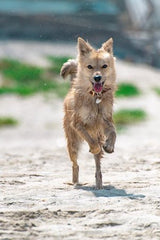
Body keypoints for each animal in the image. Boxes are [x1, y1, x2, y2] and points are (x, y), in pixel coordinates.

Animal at [60, 37, 117, 188]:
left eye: (104, 66)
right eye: (90, 67)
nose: (97, 78)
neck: (95, 97)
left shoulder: (105, 121)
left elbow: (113, 132)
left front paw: (109, 146)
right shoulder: (78, 124)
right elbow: (90, 139)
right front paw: (95, 147)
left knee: (98, 166)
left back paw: (99, 184)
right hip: (72, 144)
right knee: (75, 164)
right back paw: (75, 183)